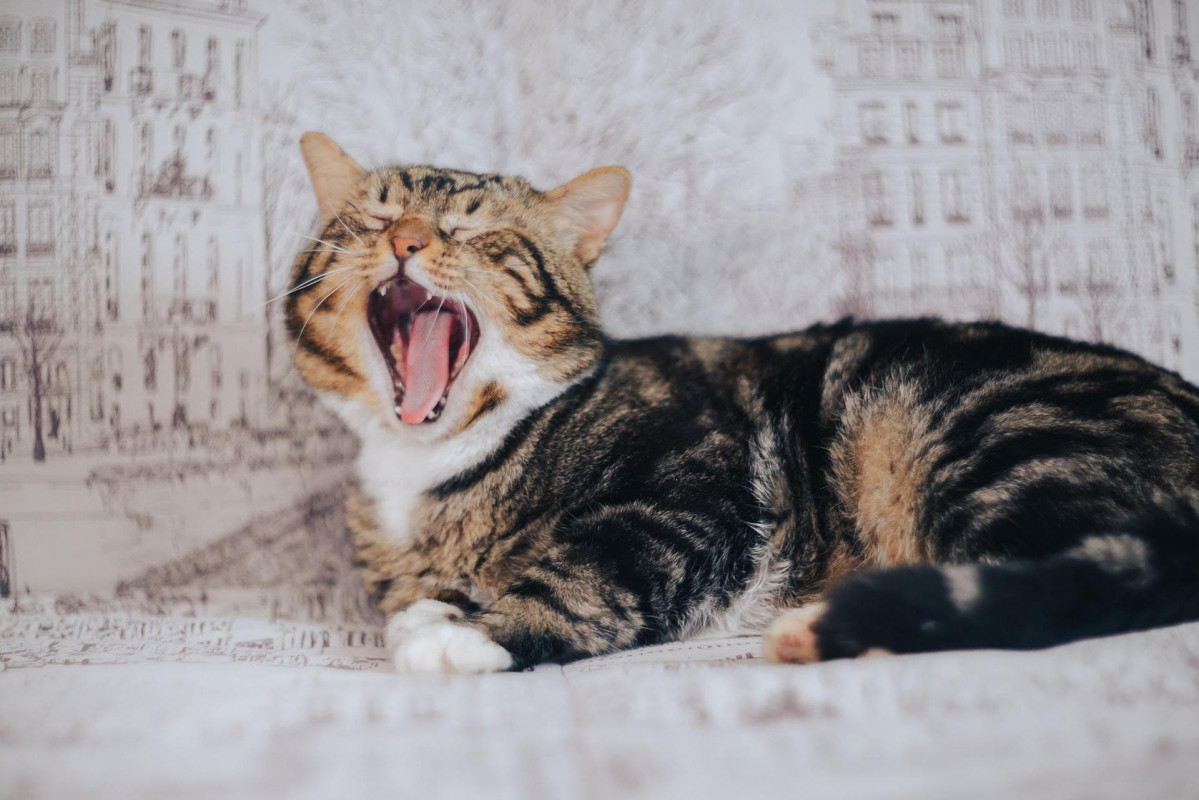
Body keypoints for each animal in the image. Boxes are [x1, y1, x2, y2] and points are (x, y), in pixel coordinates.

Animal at [290, 133, 1199, 676]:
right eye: (373, 216)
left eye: (471, 232)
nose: (405, 239)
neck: (431, 461)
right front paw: (441, 605)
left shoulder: (695, 496)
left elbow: (588, 573)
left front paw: (468, 632)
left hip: (987, 436)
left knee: (1060, 595)